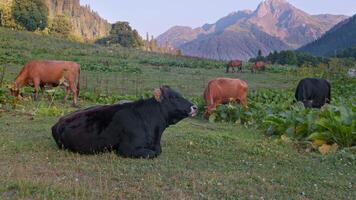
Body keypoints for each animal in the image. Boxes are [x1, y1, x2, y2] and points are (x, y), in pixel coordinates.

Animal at [51, 86, 197, 159]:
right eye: (173, 97)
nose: (195, 107)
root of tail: (59, 122)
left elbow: (158, 151)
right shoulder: (126, 149)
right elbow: (152, 153)